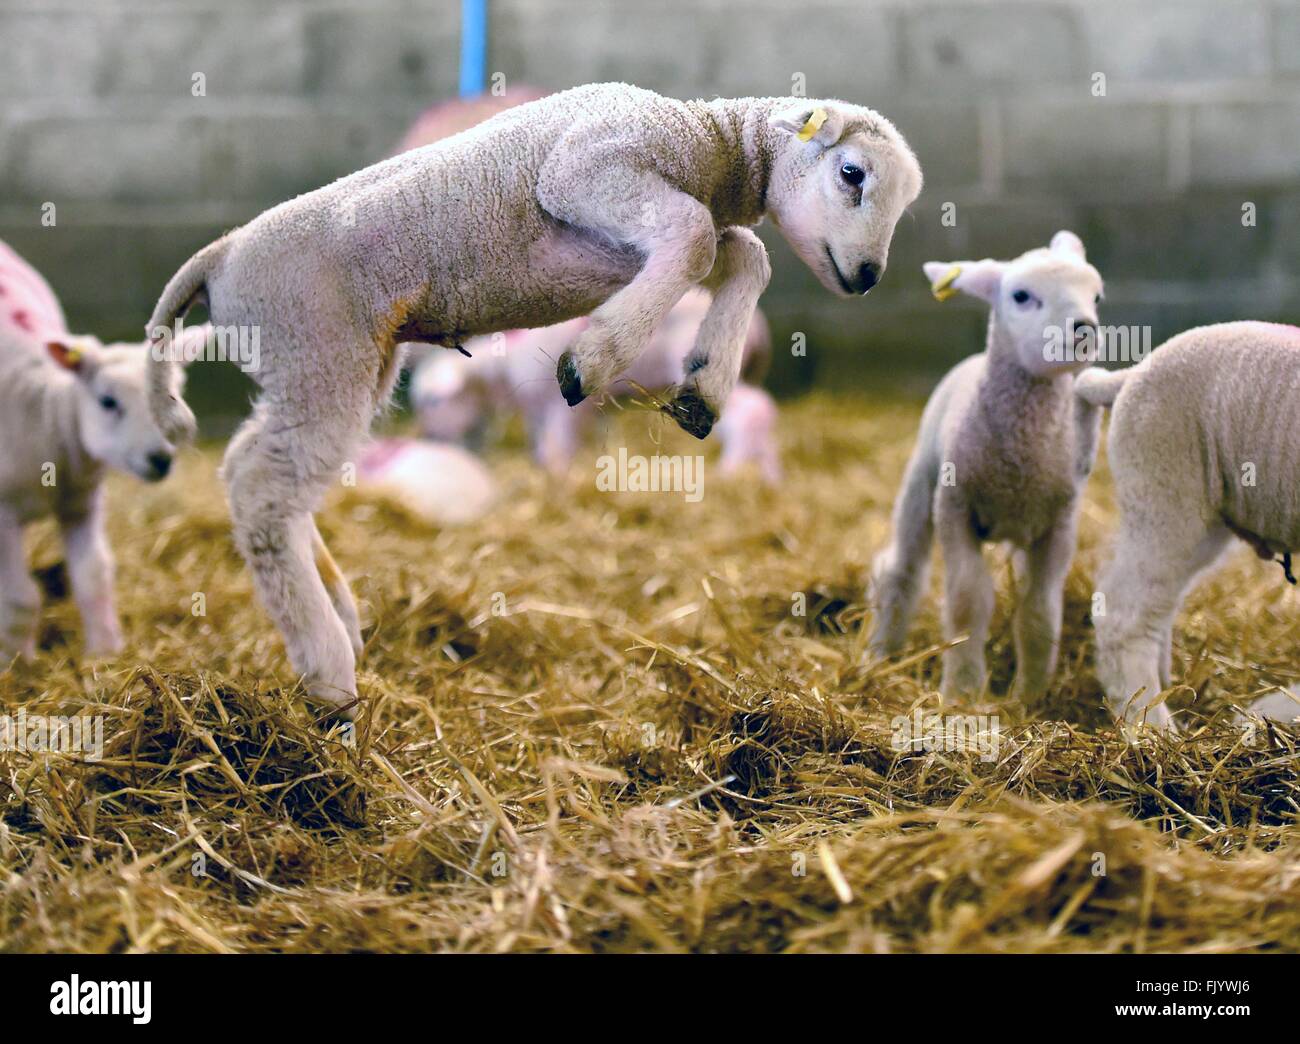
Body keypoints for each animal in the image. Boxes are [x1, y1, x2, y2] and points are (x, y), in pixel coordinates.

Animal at [410, 287, 780, 481]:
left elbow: (559, 443)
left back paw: (728, 472)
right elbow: (539, 441)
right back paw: (770, 477)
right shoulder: (535, 406)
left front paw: (559, 474)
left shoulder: (559, 401)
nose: (429, 436)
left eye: (433, 401)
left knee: (753, 411)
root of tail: (760, 326)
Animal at [868, 232, 1104, 703]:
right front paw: (962, 689)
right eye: (1021, 296)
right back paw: (881, 652)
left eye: (1096, 296)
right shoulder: (954, 508)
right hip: (921, 483)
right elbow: (967, 601)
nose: (1084, 329)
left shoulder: (1059, 523)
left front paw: (1030, 695)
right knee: (900, 571)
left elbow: (1040, 609)